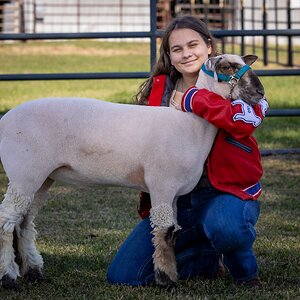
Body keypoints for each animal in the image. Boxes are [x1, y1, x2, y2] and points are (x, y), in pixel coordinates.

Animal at [0, 54, 264, 290]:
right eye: (228, 67)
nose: (260, 92)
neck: (191, 126)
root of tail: (5, 119)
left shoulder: (175, 191)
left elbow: (174, 232)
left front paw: (170, 275)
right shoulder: (162, 183)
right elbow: (164, 231)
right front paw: (166, 280)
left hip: (42, 177)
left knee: (25, 222)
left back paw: (34, 273)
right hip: (24, 172)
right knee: (6, 221)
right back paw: (9, 278)